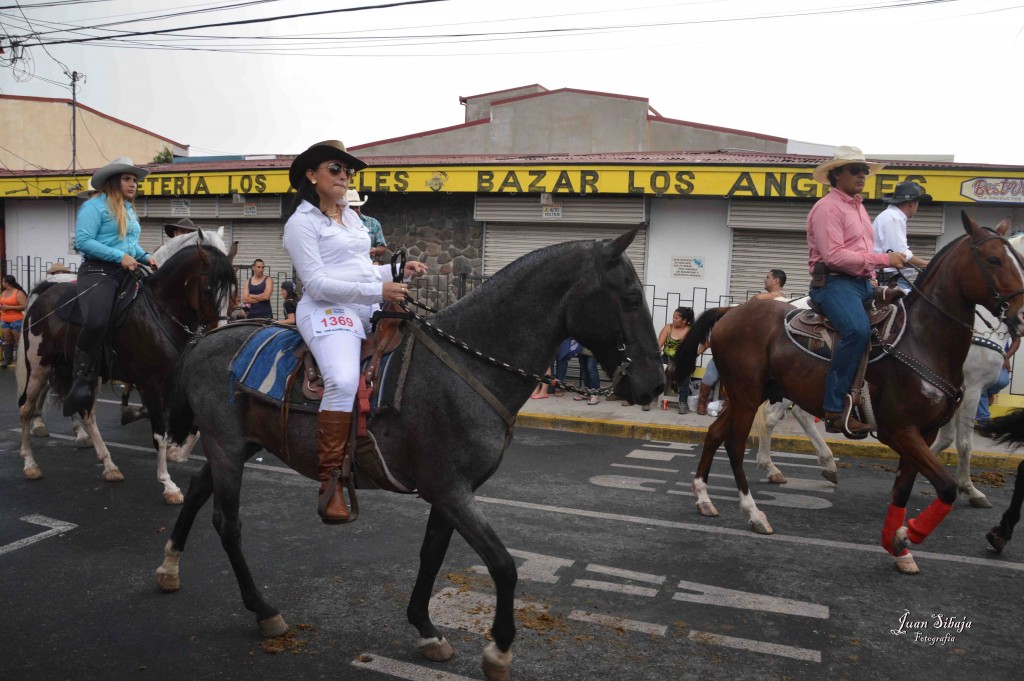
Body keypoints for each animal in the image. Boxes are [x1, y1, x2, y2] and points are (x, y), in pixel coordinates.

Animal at [152, 229, 663, 679]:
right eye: (629, 297)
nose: (657, 386)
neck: (468, 367)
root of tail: (203, 339)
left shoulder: (449, 491)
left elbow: (432, 553)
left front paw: (426, 628)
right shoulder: (452, 490)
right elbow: (502, 565)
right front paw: (499, 650)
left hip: (236, 447)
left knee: (197, 491)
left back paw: (169, 566)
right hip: (226, 447)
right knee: (227, 523)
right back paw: (263, 610)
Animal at [671, 213, 1024, 573]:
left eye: (1018, 261)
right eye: (993, 259)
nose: (1019, 314)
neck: (921, 339)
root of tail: (731, 311)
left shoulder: (923, 432)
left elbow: (906, 486)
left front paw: (898, 545)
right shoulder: (903, 429)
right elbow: (950, 478)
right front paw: (916, 528)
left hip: (754, 393)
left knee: (718, 433)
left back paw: (705, 496)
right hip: (746, 394)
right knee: (735, 443)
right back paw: (755, 511)